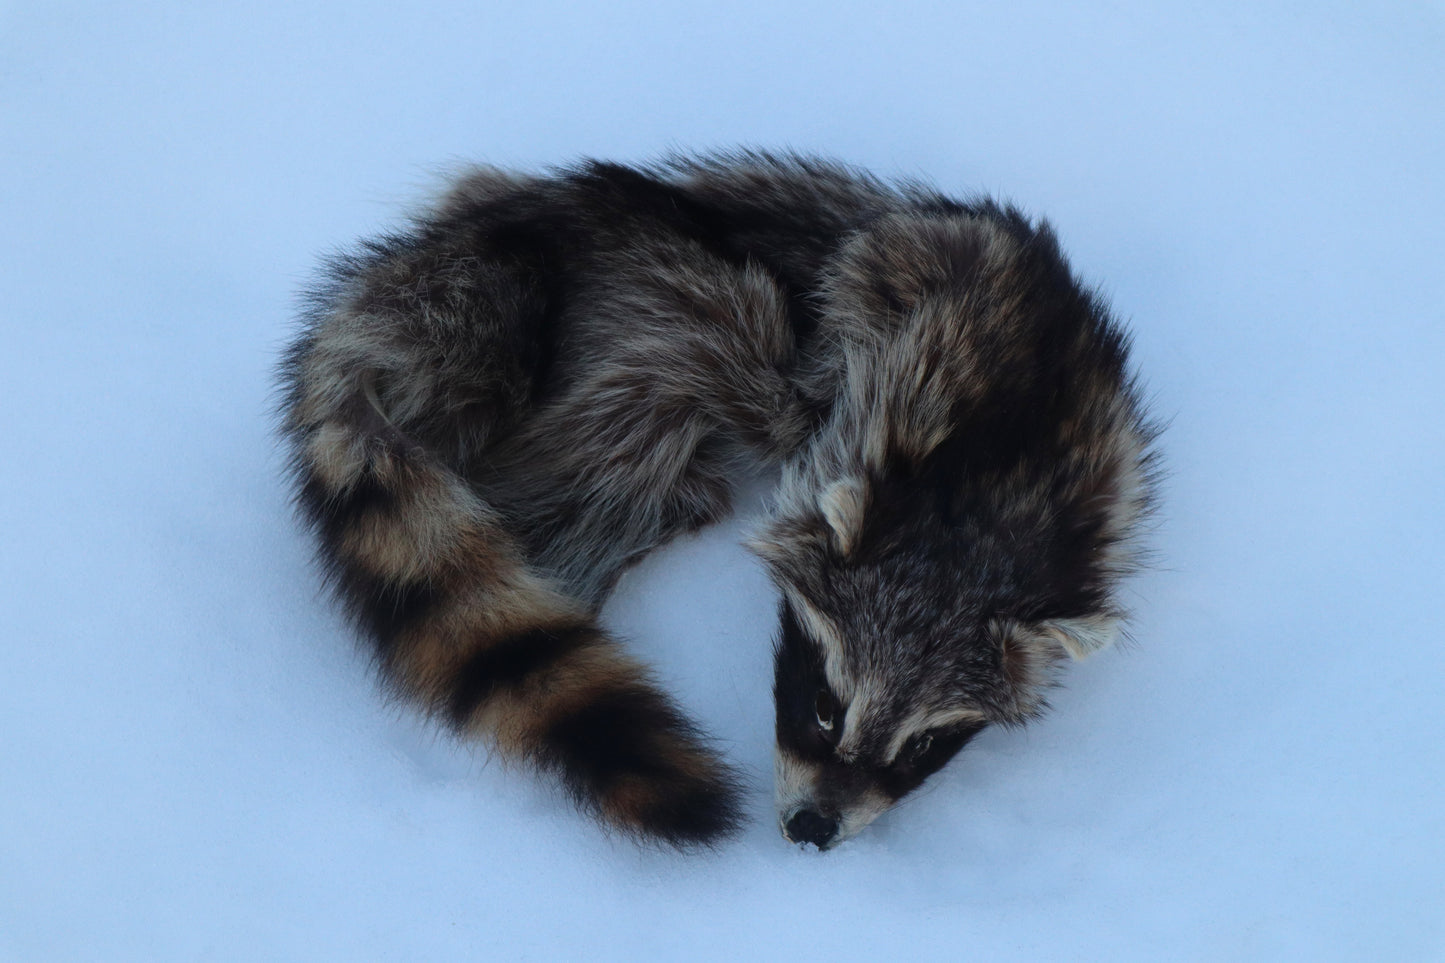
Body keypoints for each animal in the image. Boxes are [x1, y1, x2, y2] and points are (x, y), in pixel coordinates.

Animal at [278, 152, 1156, 850]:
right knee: (709, 346)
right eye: (825, 706)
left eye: (919, 746)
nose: (811, 831)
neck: (998, 488)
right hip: (604, 286)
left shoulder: (1109, 462)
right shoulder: (923, 280)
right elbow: (859, 278)